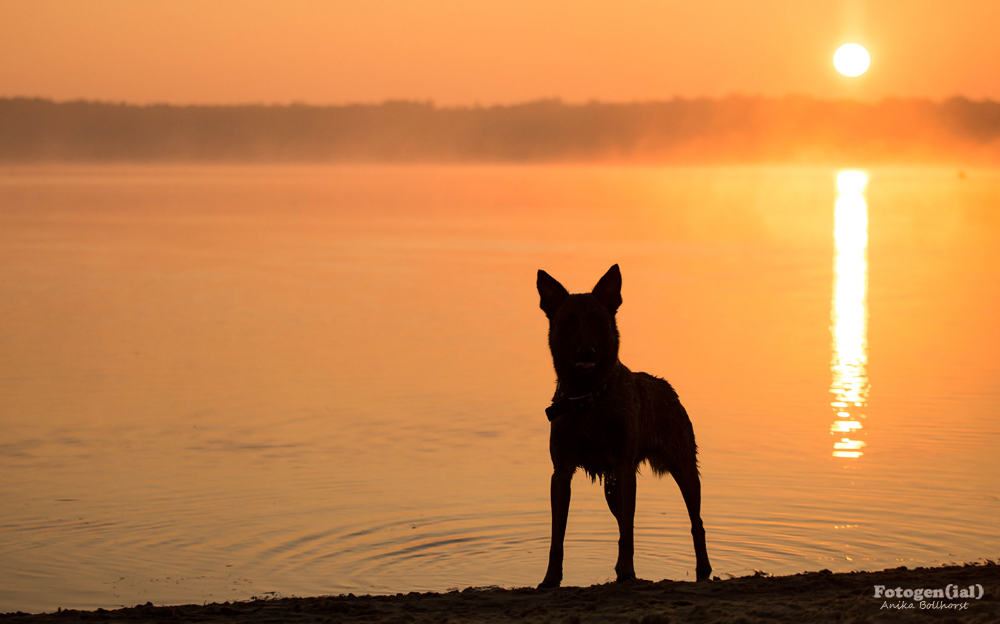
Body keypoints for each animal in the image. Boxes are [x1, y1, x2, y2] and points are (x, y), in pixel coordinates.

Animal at [540, 266, 712, 588]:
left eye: (598, 320)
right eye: (569, 321)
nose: (586, 351)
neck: (588, 399)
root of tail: (668, 388)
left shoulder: (624, 467)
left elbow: (628, 533)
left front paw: (628, 573)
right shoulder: (562, 473)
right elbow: (558, 536)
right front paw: (550, 578)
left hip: (683, 469)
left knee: (696, 523)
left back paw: (703, 569)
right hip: (612, 487)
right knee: (623, 521)